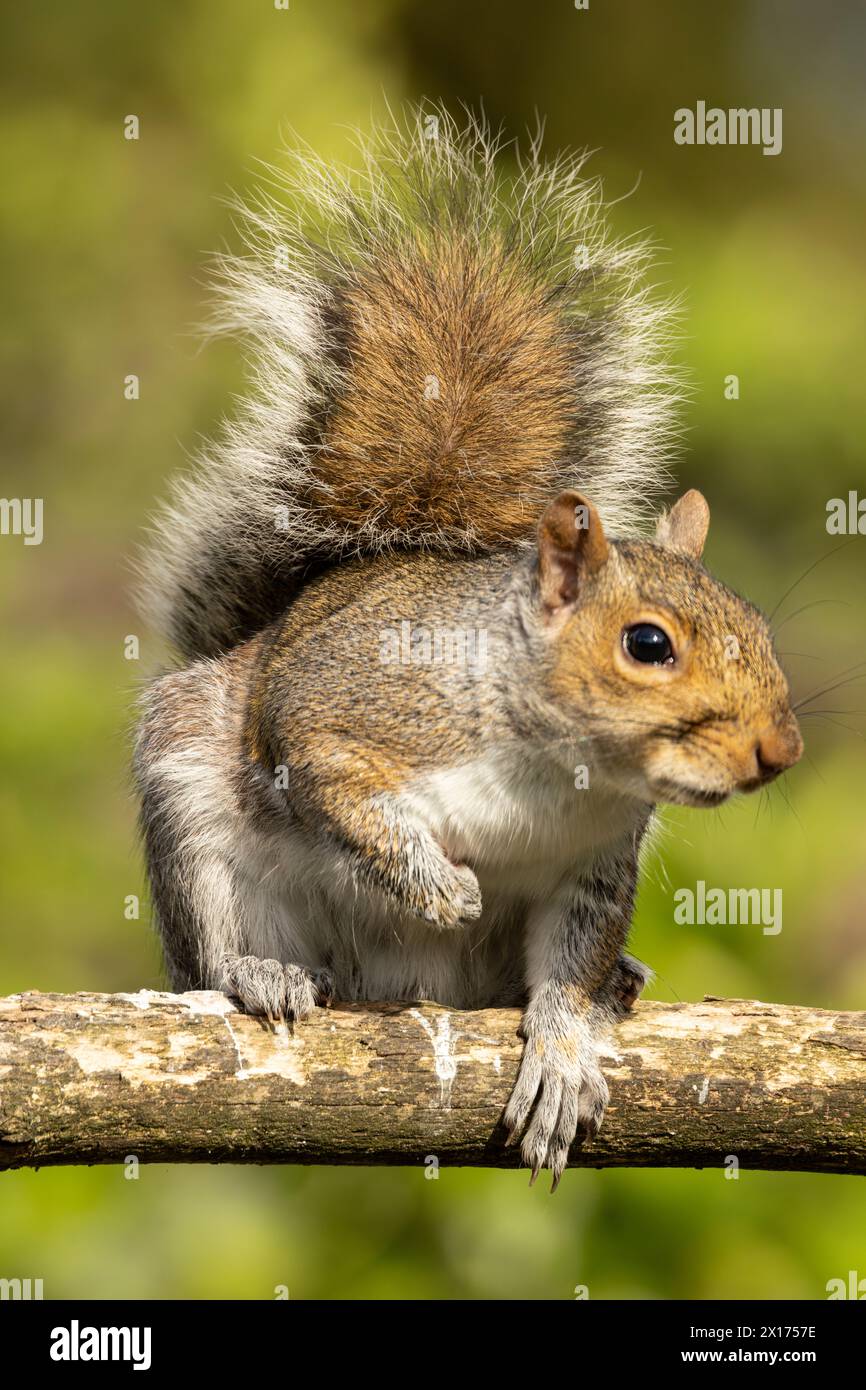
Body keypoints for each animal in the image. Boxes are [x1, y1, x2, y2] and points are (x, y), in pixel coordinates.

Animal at [135, 113, 806, 1189]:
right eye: (647, 643)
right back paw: (257, 969)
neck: (551, 764)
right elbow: (340, 790)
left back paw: (619, 982)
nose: (778, 751)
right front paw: (435, 882)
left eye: (757, 624)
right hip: (189, 818)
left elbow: (569, 966)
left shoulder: (593, 870)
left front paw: (566, 1049)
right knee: (202, 950)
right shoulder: (343, 713)